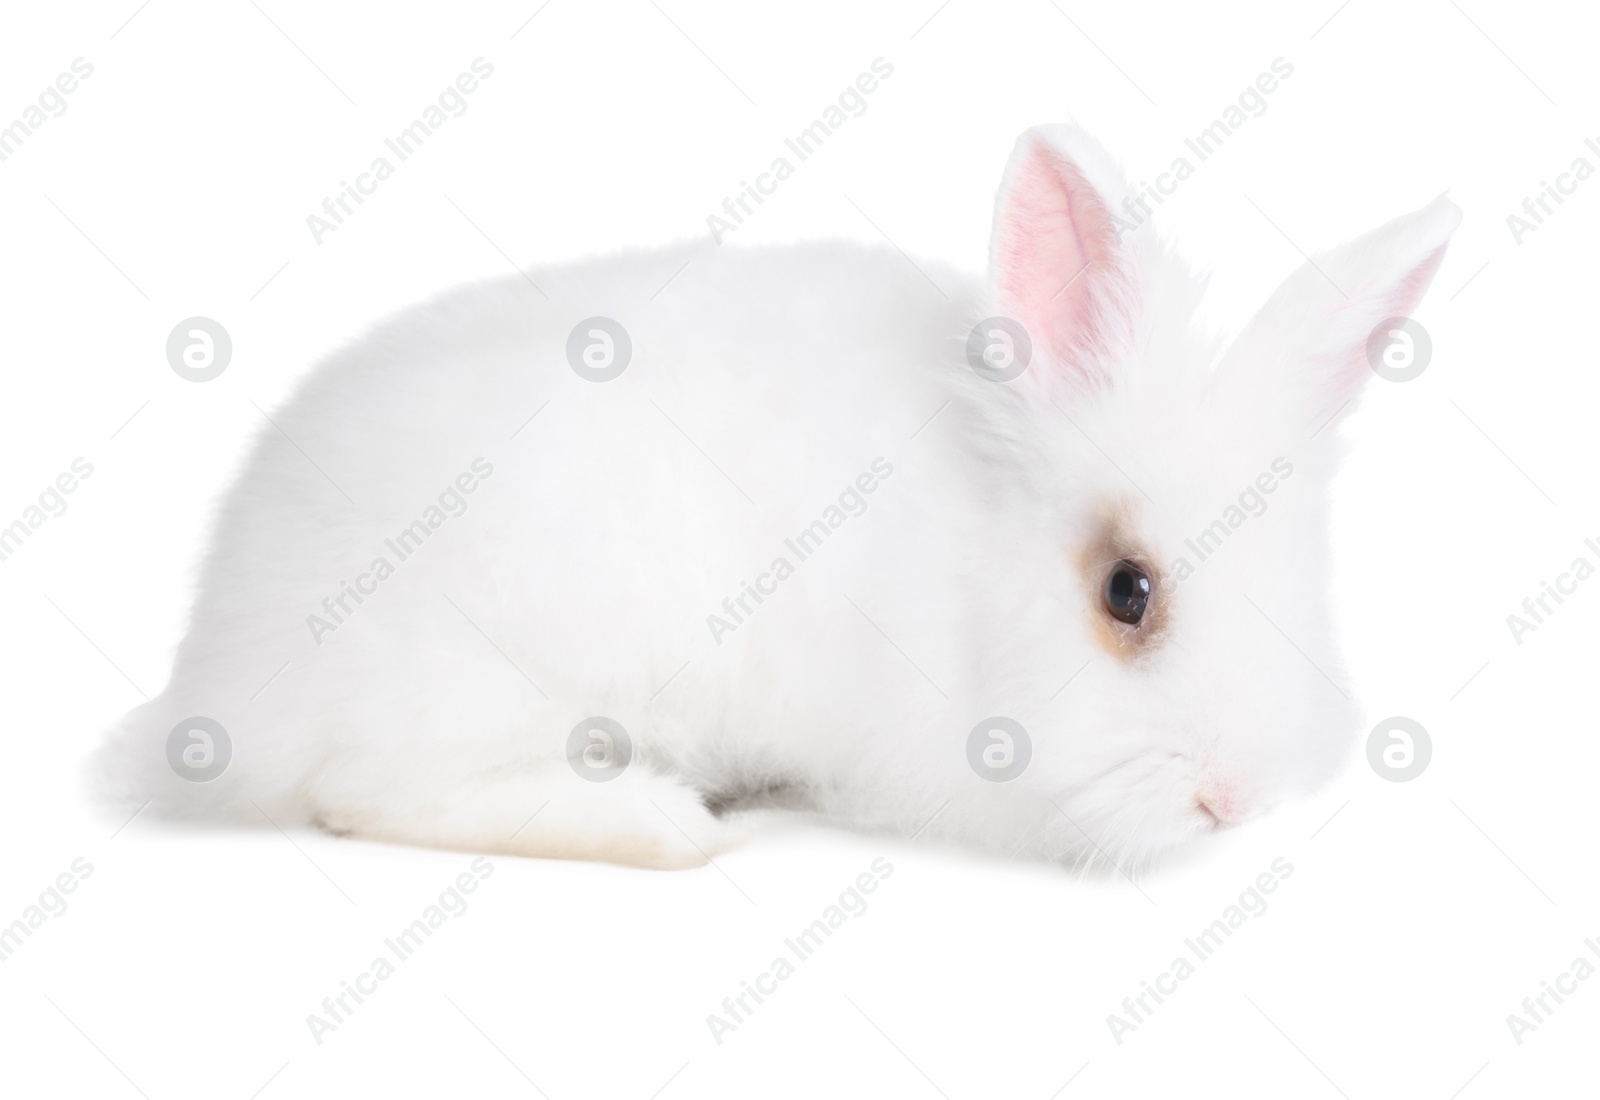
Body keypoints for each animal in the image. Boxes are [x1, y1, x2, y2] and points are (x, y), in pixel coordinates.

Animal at [87, 127, 1465, 869]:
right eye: (1127, 592)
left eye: (1311, 586)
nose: (1236, 799)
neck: (968, 574)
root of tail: (217, 679)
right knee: (363, 791)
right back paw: (672, 827)